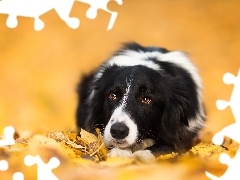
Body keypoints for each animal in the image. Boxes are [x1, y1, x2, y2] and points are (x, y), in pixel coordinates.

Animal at [76, 42, 205, 158]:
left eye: (146, 99)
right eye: (113, 95)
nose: (118, 131)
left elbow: (168, 147)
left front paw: (142, 155)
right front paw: (120, 152)